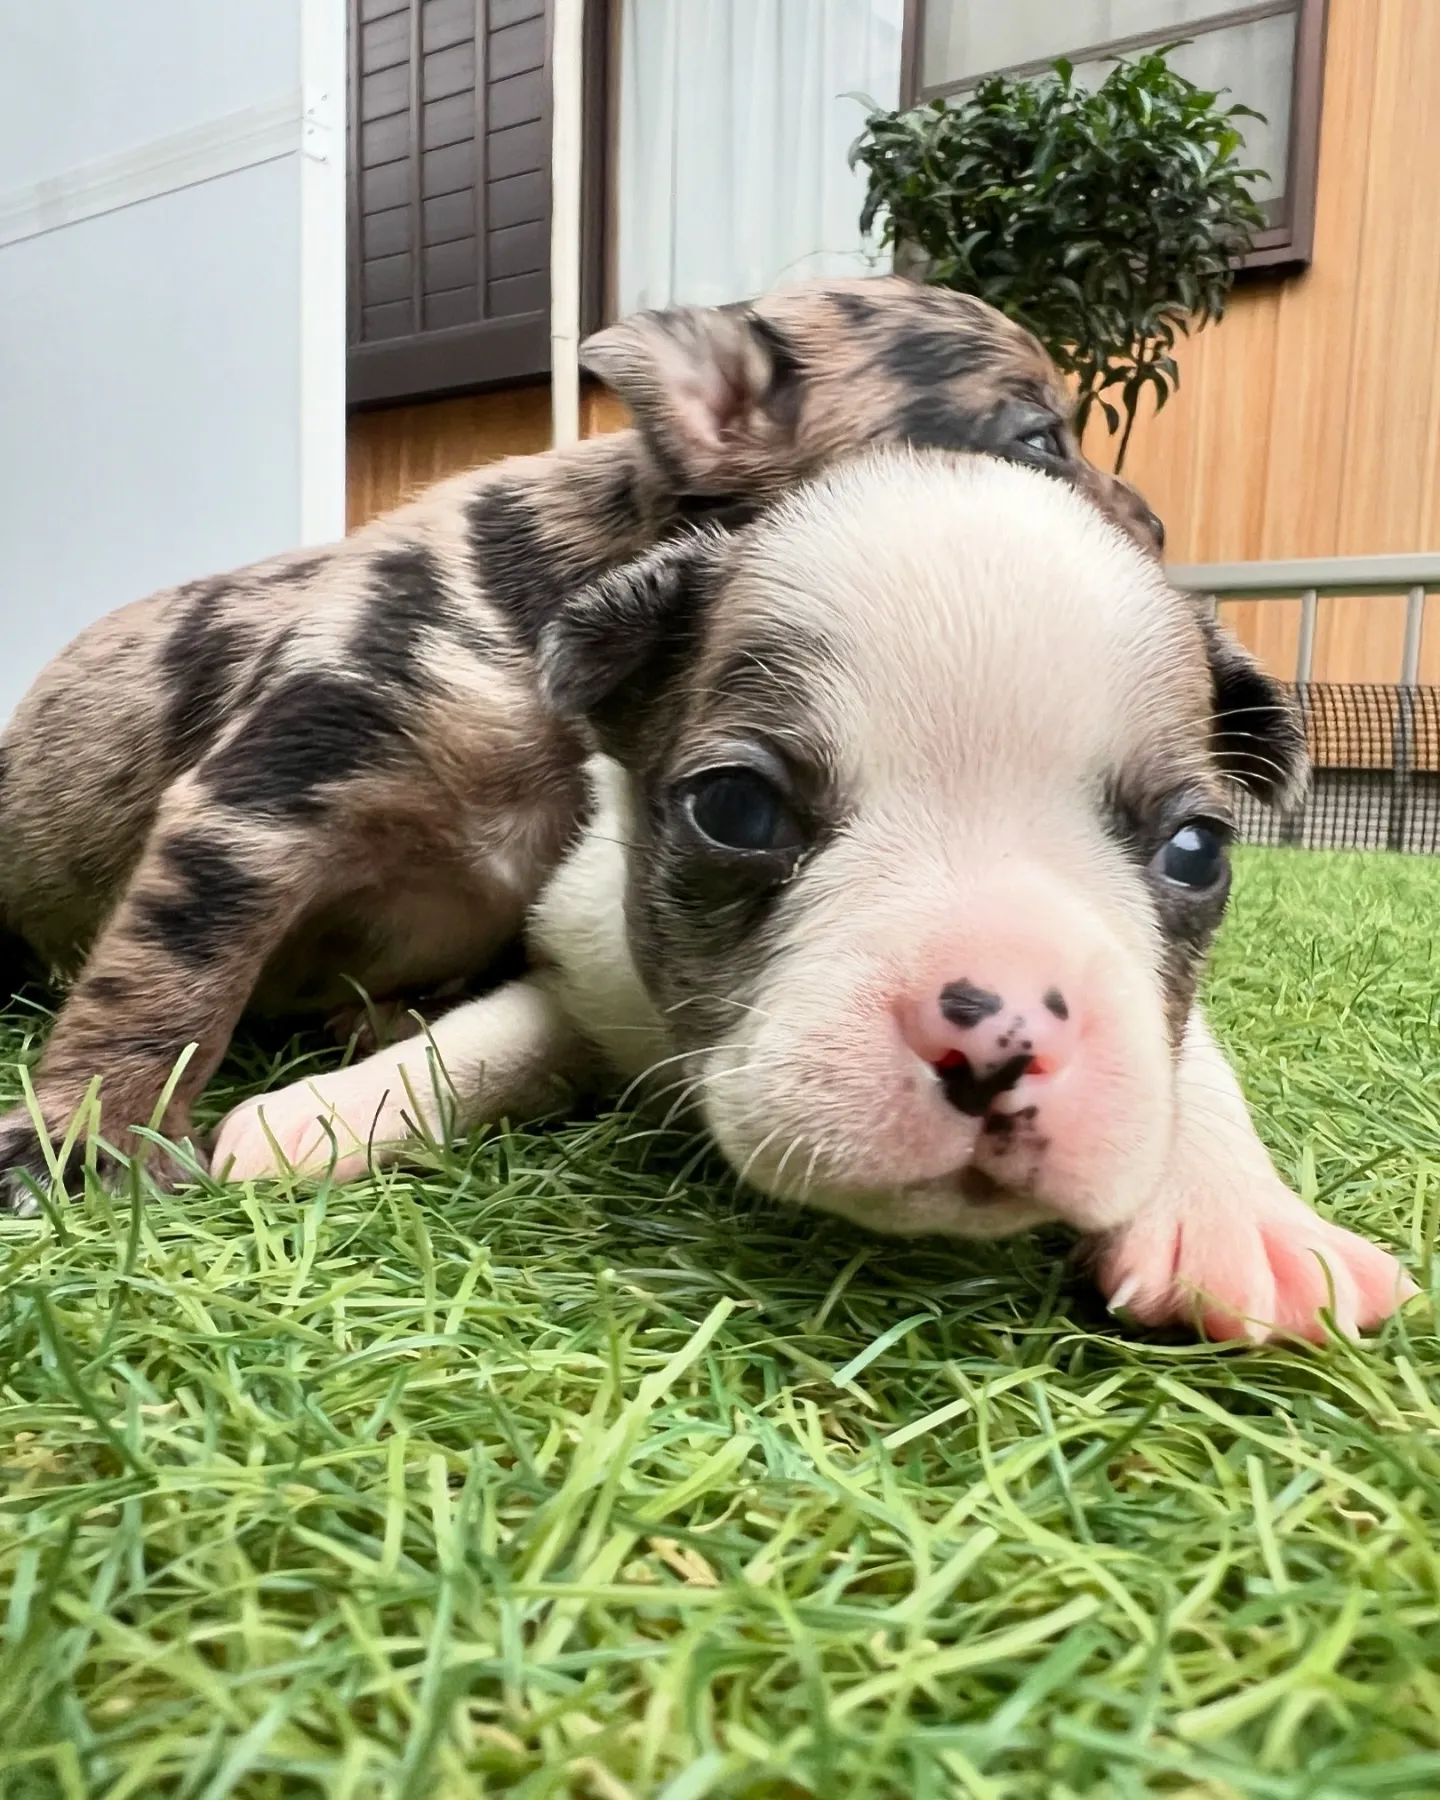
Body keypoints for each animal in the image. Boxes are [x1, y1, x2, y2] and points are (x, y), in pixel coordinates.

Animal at [216, 450, 1418, 1346]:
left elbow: (1186, 1058)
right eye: (736, 808)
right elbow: (483, 1041)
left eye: (1196, 851)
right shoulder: (584, 965)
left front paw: (1238, 1215)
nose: (1001, 1033)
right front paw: (327, 1114)